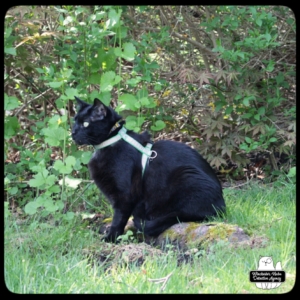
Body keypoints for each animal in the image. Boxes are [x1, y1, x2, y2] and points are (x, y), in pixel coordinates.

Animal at [71, 97, 225, 243]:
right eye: (74, 122)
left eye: (85, 124)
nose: (72, 132)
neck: (110, 141)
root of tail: (222, 202)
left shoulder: (124, 196)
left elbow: (118, 220)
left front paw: (111, 238)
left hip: (187, 176)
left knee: (194, 214)